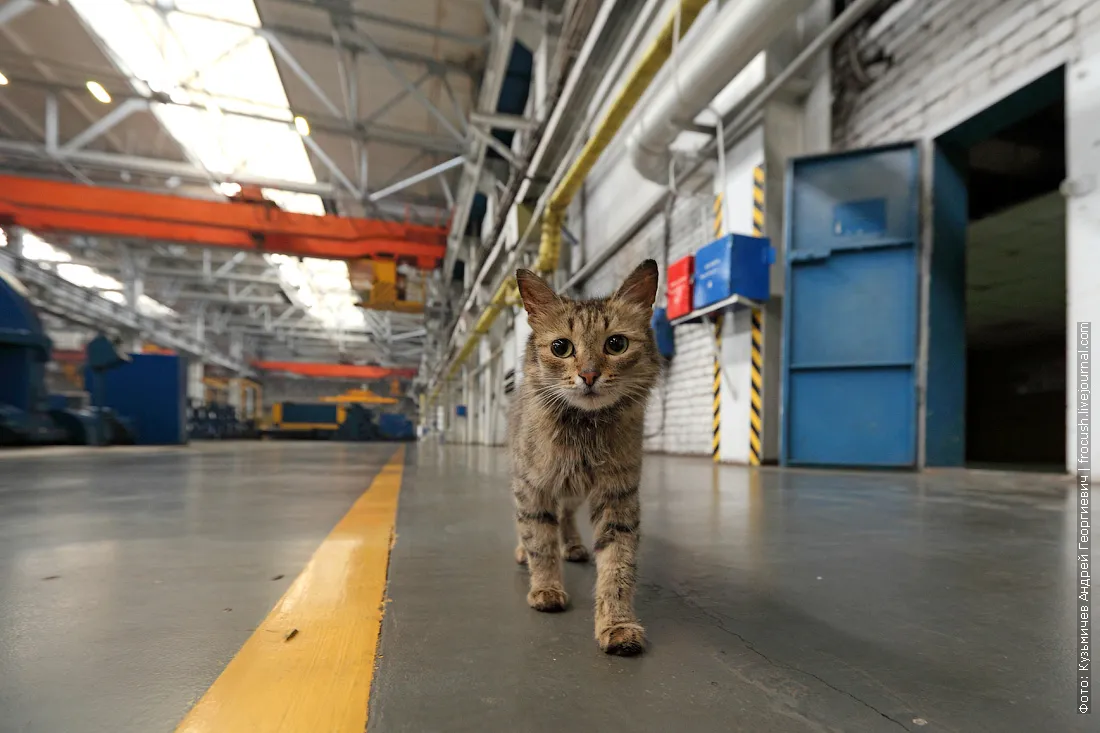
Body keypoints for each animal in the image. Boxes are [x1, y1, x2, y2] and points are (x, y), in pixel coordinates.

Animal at [508, 259, 660, 651]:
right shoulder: (533, 486)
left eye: (616, 344)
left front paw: (616, 623)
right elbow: (540, 540)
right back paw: (524, 552)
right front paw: (545, 587)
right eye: (561, 347)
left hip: (575, 492)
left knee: (565, 516)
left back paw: (574, 545)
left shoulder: (617, 496)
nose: (589, 375)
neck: (584, 431)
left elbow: (617, 565)